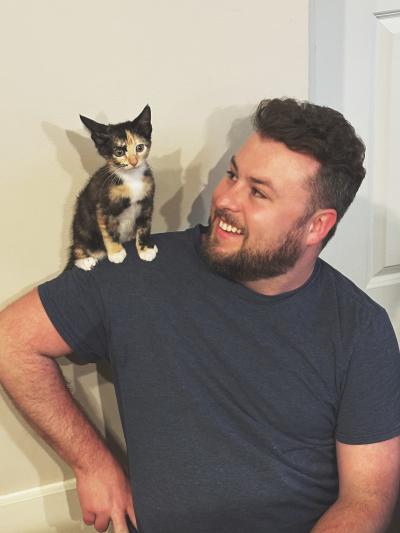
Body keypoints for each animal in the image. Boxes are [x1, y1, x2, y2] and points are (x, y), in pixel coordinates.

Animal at [66, 104, 158, 270]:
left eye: (140, 147)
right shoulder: (102, 206)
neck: (131, 178)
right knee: (76, 248)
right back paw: (85, 260)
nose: (134, 162)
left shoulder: (147, 202)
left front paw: (145, 249)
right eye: (119, 152)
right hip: (82, 225)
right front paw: (116, 253)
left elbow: (144, 226)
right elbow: (108, 230)